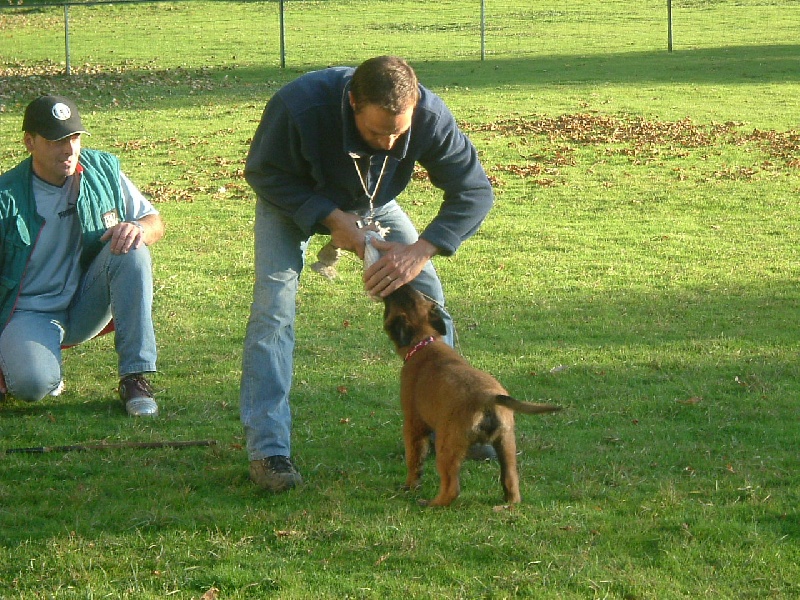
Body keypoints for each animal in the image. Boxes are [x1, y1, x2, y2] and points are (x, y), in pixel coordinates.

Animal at [382, 286, 560, 506]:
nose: (396, 287)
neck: (424, 341)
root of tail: (488, 398)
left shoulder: (413, 425)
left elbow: (414, 461)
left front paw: (410, 486)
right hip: (506, 445)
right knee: (511, 482)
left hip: (447, 446)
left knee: (451, 488)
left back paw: (431, 504)